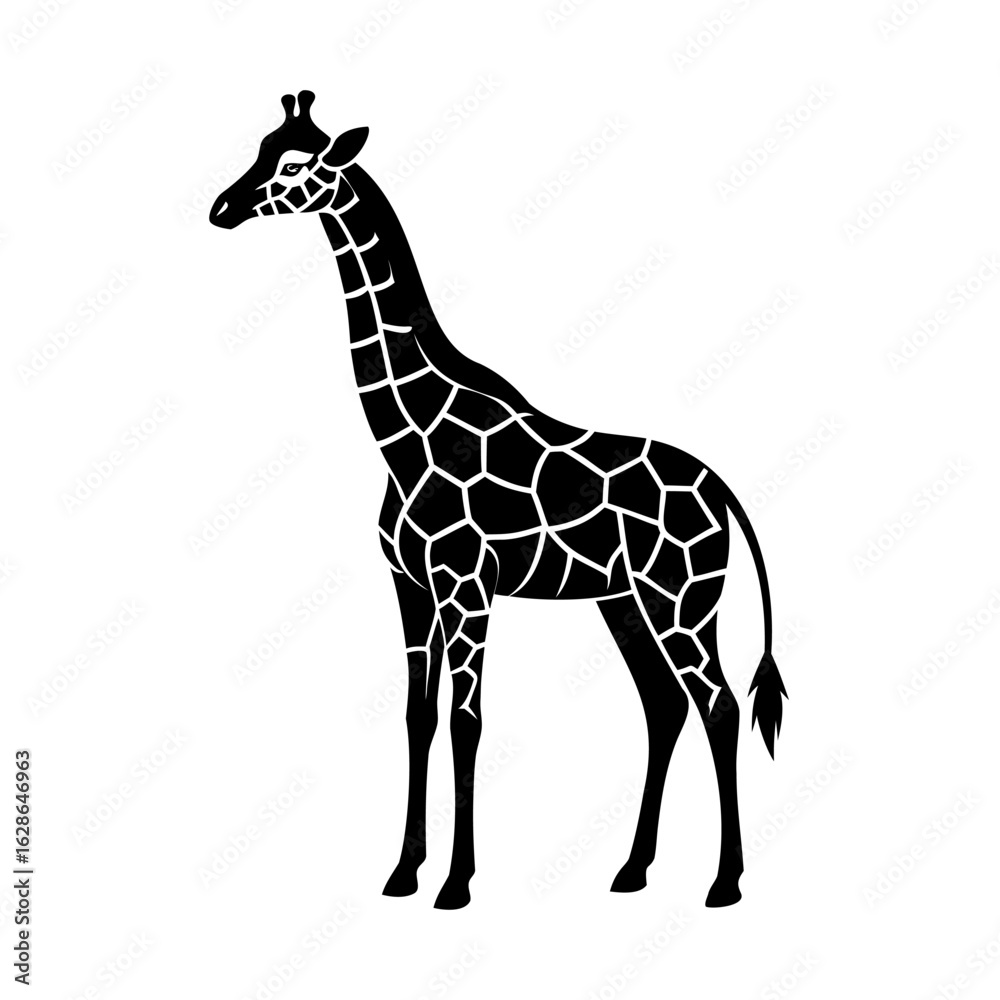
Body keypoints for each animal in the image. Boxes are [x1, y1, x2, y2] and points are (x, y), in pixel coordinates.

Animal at [210, 91, 788, 910]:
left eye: (294, 164)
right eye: (258, 148)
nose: (222, 208)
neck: (406, 430)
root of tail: (725, 491)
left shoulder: (466, 588)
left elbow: (468, 721)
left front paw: (456, 882)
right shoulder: (410, 585)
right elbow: (418, 715)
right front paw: (403, 872)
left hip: (682, 598)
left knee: (720, 704)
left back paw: (725, 882)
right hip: (624, 600)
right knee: (664, 704)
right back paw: (633, 869)